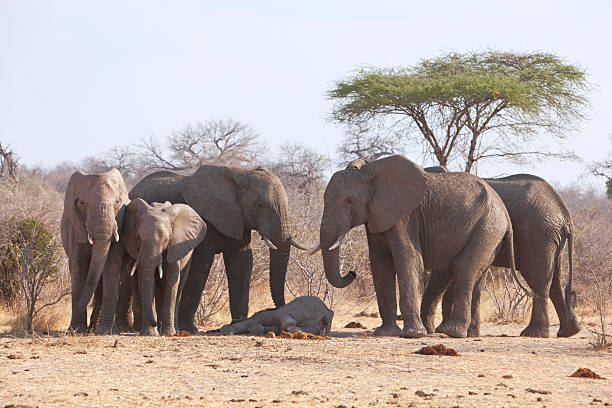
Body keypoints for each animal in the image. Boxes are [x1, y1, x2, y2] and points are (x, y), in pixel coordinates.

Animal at [61, 169, 130, 334]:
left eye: (117, 202)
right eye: (82, 203)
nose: (80, 306)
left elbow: (111, 267)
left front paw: (106, 332)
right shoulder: (75, 226)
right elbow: (79, 267)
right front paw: (76, 330)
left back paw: (96, 327)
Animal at [122, 199, 208, 336]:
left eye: (166, 240)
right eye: (138, 238)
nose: (155, 323)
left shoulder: (175, 246)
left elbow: (172, 283)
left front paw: (168, 333)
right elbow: (145, 280)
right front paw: (150, 333)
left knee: (179, 287)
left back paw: (174, 329)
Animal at [316, 154, 520, 338]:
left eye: (349, 201)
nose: (352, 272)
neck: (370, 172)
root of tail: (505, 214)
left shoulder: (405, 217)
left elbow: (409, 259)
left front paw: (413, 335)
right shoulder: (377, 215)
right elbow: (381, 267)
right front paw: (385, 333)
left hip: (486, 227)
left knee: (464, 270)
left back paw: (451, 332)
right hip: (490, 233)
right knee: (478, 277)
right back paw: (470, 334)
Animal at [420, 168, 580, 338]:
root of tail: (565, 215)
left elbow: (444, 274)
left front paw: (435, 329)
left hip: (538, 234)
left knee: (538, 278)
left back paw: (533, 334)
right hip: (551, 239)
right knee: (555, 281)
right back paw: (568, 332)